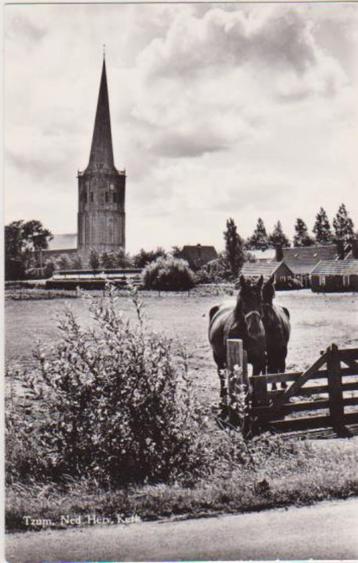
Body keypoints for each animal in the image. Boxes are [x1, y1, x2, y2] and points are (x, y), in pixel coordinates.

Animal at [208, 274, 268, 404]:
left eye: (260, 300)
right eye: (244, 300)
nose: (254, 329)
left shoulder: (258, 361)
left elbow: (253, 381)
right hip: (217, 356)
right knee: (221, 374)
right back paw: (223, 396)